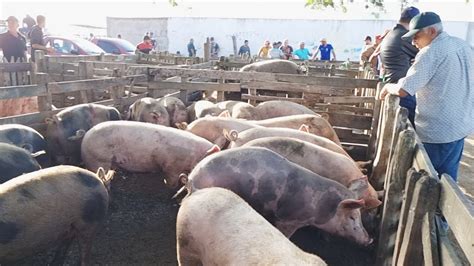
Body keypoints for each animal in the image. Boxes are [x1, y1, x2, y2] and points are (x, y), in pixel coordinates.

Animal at [82, 120, 220, 187]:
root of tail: (85, 138)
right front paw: (169, 185)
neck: (194, 154)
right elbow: (171, 181)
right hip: (98, 159)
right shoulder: (172, 166)